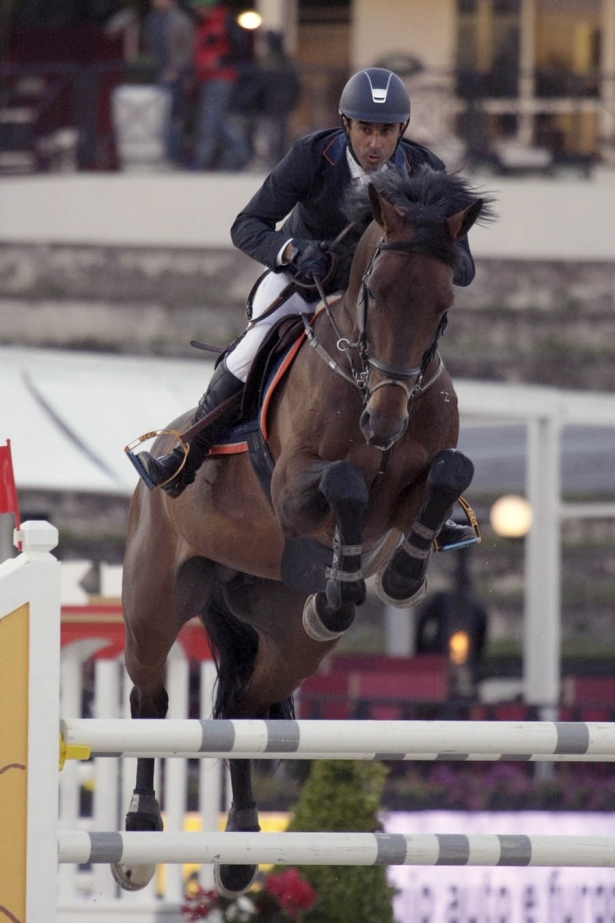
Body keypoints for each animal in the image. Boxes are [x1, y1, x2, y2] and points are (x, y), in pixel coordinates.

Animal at [114, 164, 490, 896]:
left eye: (442, 304)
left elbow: (447, 472)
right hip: (154, 599)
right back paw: (140, 830)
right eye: (374, 292)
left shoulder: (411, 484)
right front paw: (350, 584)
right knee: (150, 694)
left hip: (281, 632)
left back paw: (239, 846)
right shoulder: (293, 487)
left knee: (240, 702)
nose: (383, 422)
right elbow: (344, 484)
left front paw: (401, 574)